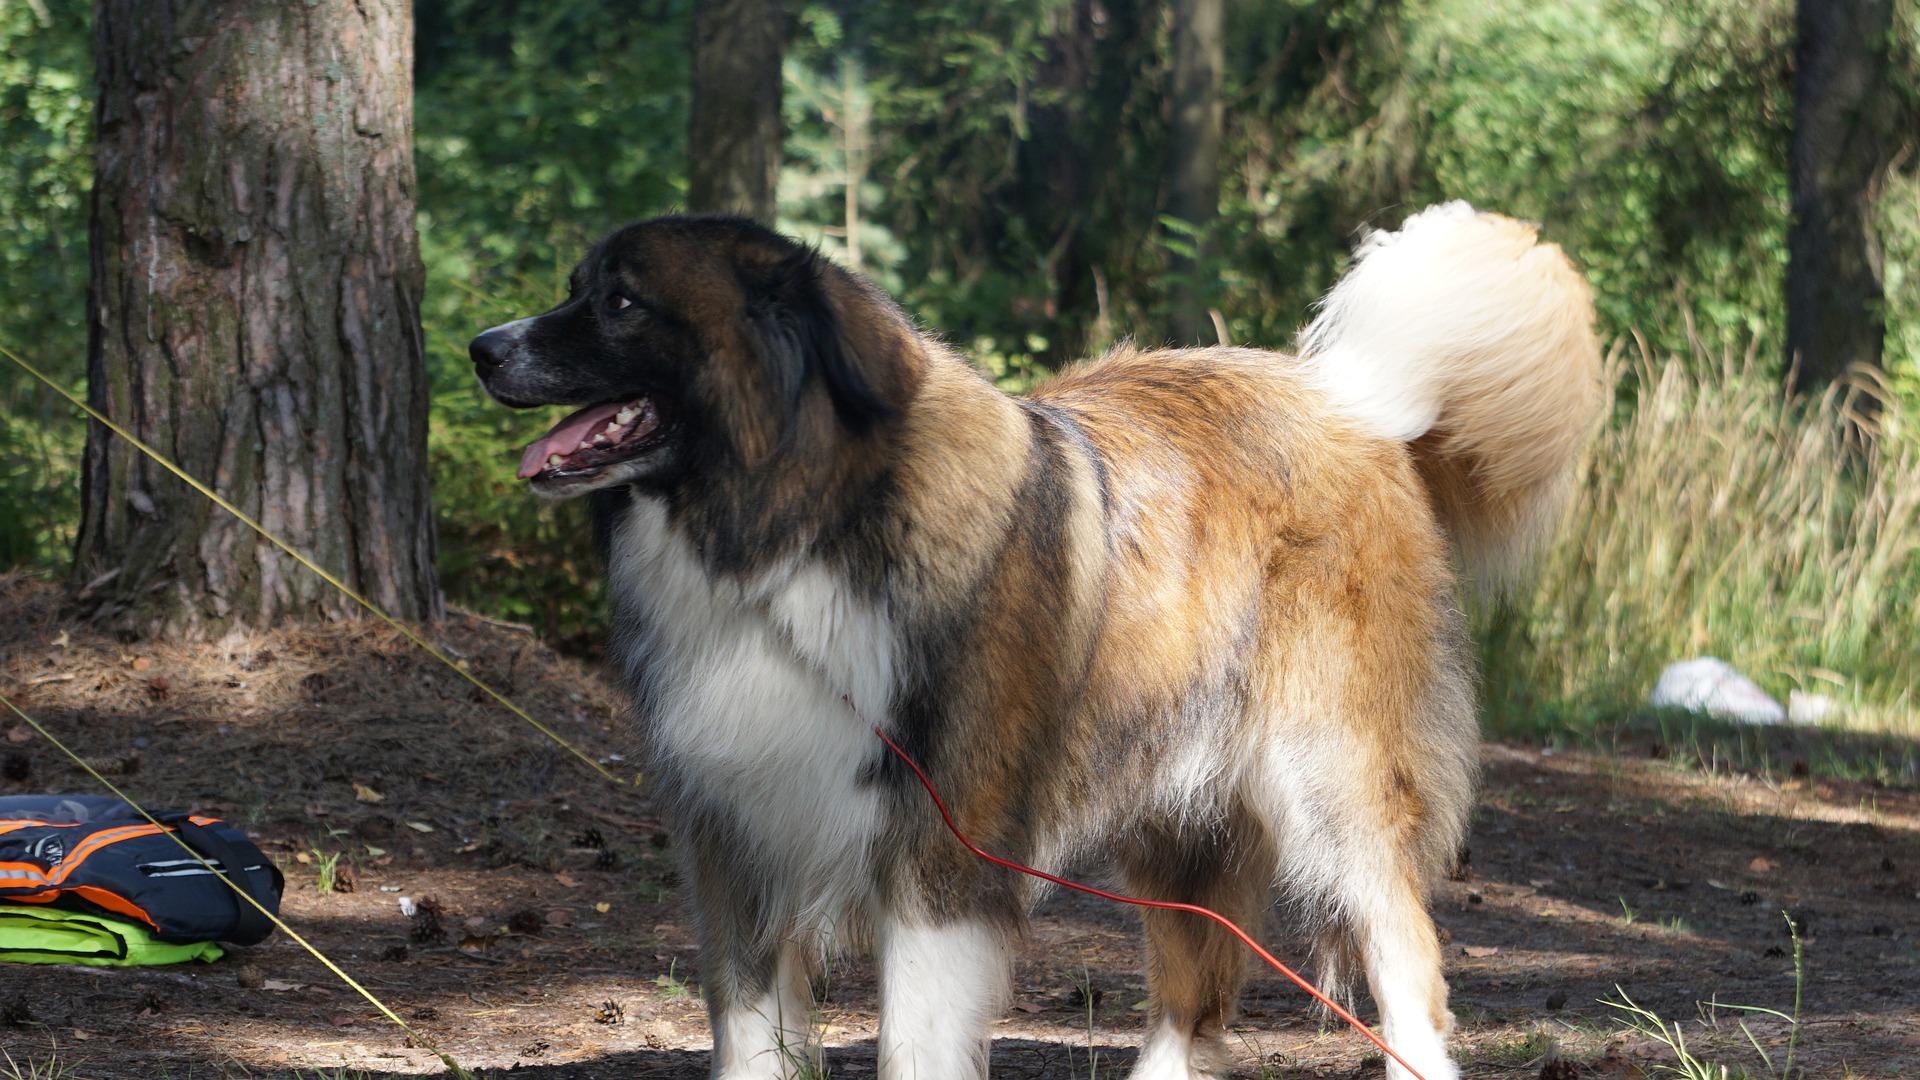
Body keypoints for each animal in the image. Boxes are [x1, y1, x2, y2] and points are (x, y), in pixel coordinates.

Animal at [472, 203, 1597, 1076]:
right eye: (577, 287)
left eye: (621, 302)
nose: (481, 346)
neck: (793, 534)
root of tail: (1353, 397)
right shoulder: (739, 848)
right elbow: (752, 1043)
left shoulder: (940, 857)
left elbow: (914, 1043)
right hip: (1180, 816)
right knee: (1192, 999)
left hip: (1332, 785)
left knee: (1405, 966)